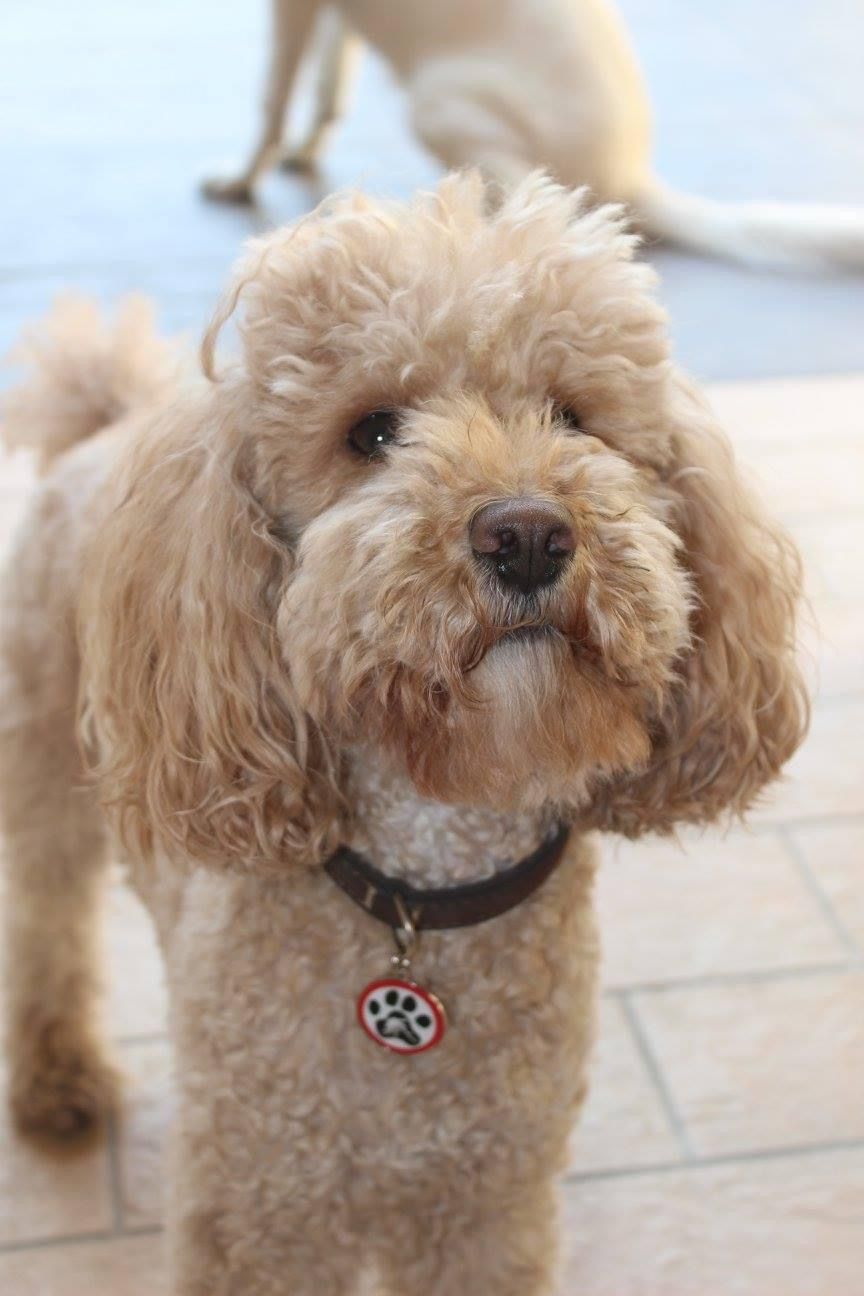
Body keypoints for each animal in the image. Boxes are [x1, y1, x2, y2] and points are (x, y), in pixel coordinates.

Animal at [1, 174, 808, 1294]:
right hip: (44, 772)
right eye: (374, 432)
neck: (425, 889)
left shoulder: (487, 1206)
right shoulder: (260, 1213)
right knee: (46, 920)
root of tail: (100, 427)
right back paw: (57, 1077)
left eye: (572, 416)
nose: (528, 535)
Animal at [202, 0, 864, 270]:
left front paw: (240, 181)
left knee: (551, 206)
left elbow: (273, 96)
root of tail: (633, 175)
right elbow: (328, 84)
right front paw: (303, 152)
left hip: (436, 100)